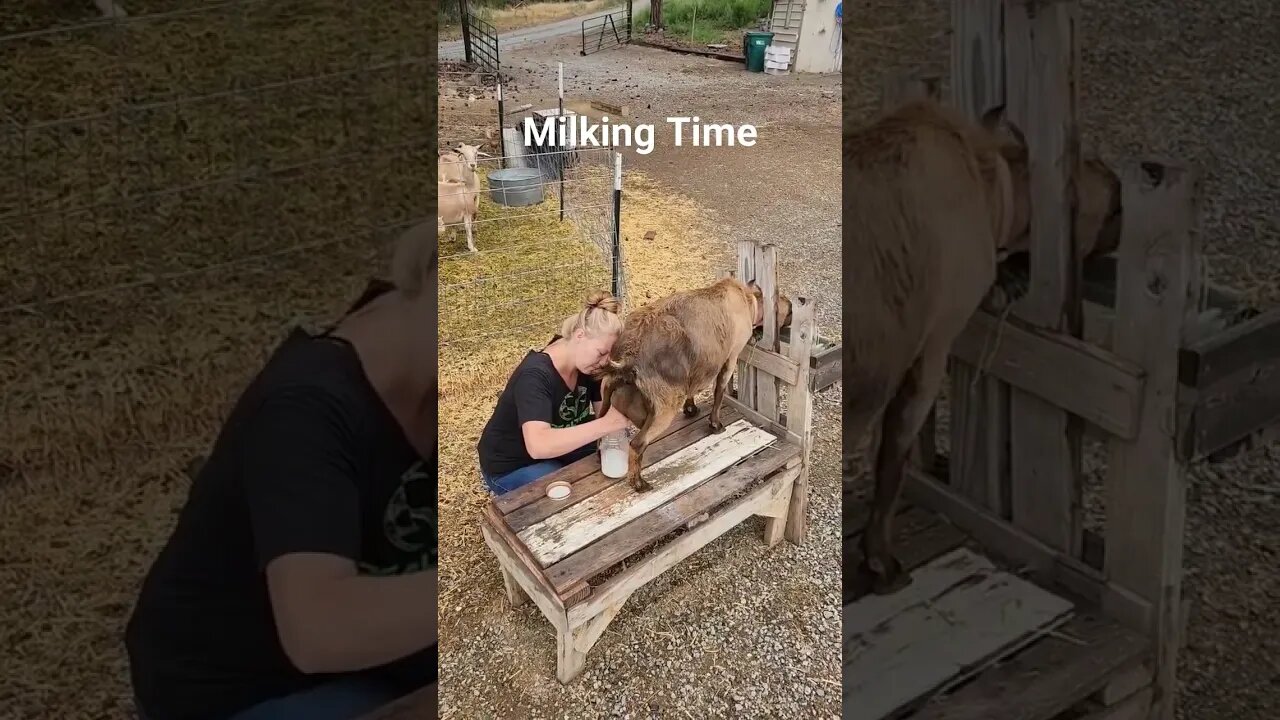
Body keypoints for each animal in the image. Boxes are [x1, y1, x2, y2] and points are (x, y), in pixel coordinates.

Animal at [596, 278, 788, 489]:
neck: (746, 298)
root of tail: (628, 358)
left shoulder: (696, 370)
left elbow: (693, 389)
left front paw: (691, 409)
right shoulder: (730, 359)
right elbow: (719, 394)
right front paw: (715, 425)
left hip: (606, 397)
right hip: (664, 410)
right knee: (637, 444)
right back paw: (639, 483)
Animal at [844, 101, 1126, 594]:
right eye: (1105, 206)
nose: (1122, 193)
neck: (996, 200)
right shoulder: (934, 343)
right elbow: (894, 458)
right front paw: (880, 560)